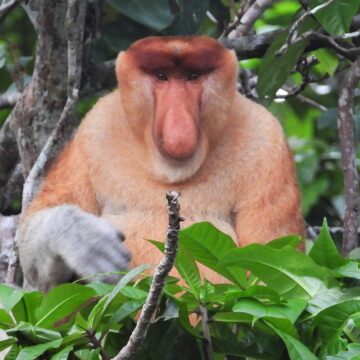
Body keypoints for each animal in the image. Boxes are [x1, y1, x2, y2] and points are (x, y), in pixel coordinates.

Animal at [17, 35, 304, 292]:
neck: (171, 171)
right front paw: (82, 238)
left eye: (192, 76)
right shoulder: (94, 129)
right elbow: (35, 245)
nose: (178, 124)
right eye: (161, 76)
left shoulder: (266, 140)